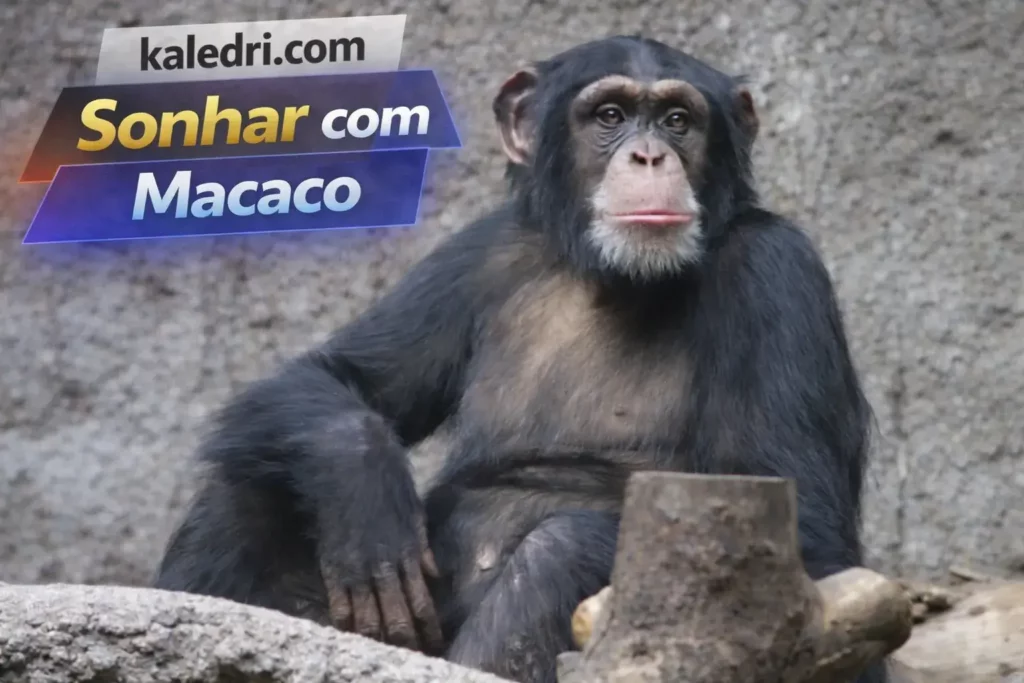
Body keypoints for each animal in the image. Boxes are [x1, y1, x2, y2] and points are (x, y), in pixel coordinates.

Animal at [154, 35, 884, 683]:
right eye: (609, 115)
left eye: (679, 120)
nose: (650, 156)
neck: (612, 278)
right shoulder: (479, 252)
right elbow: (340, 376)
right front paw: (364, 490)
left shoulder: (779, 272)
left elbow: (810, 542)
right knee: (252, 482)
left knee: (560, 551)